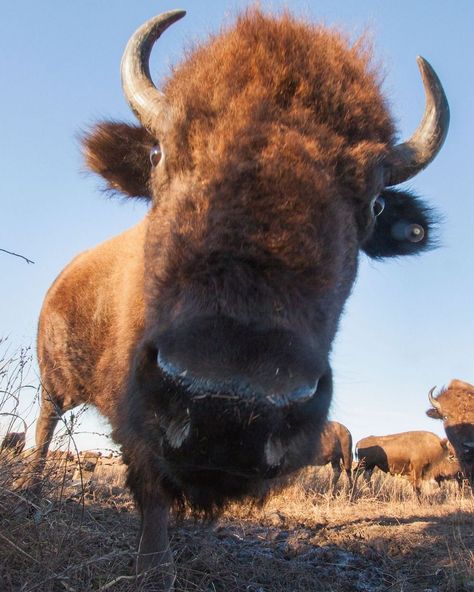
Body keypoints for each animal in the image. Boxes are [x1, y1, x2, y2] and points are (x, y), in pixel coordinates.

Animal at [17, 8, 448, 588]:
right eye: (158, 153)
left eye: (377, 202)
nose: (228, 404)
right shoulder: (142, 422)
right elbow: (152, 490)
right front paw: (155, 570)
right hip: (54, 384)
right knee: (43, 430)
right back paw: (30, 499)